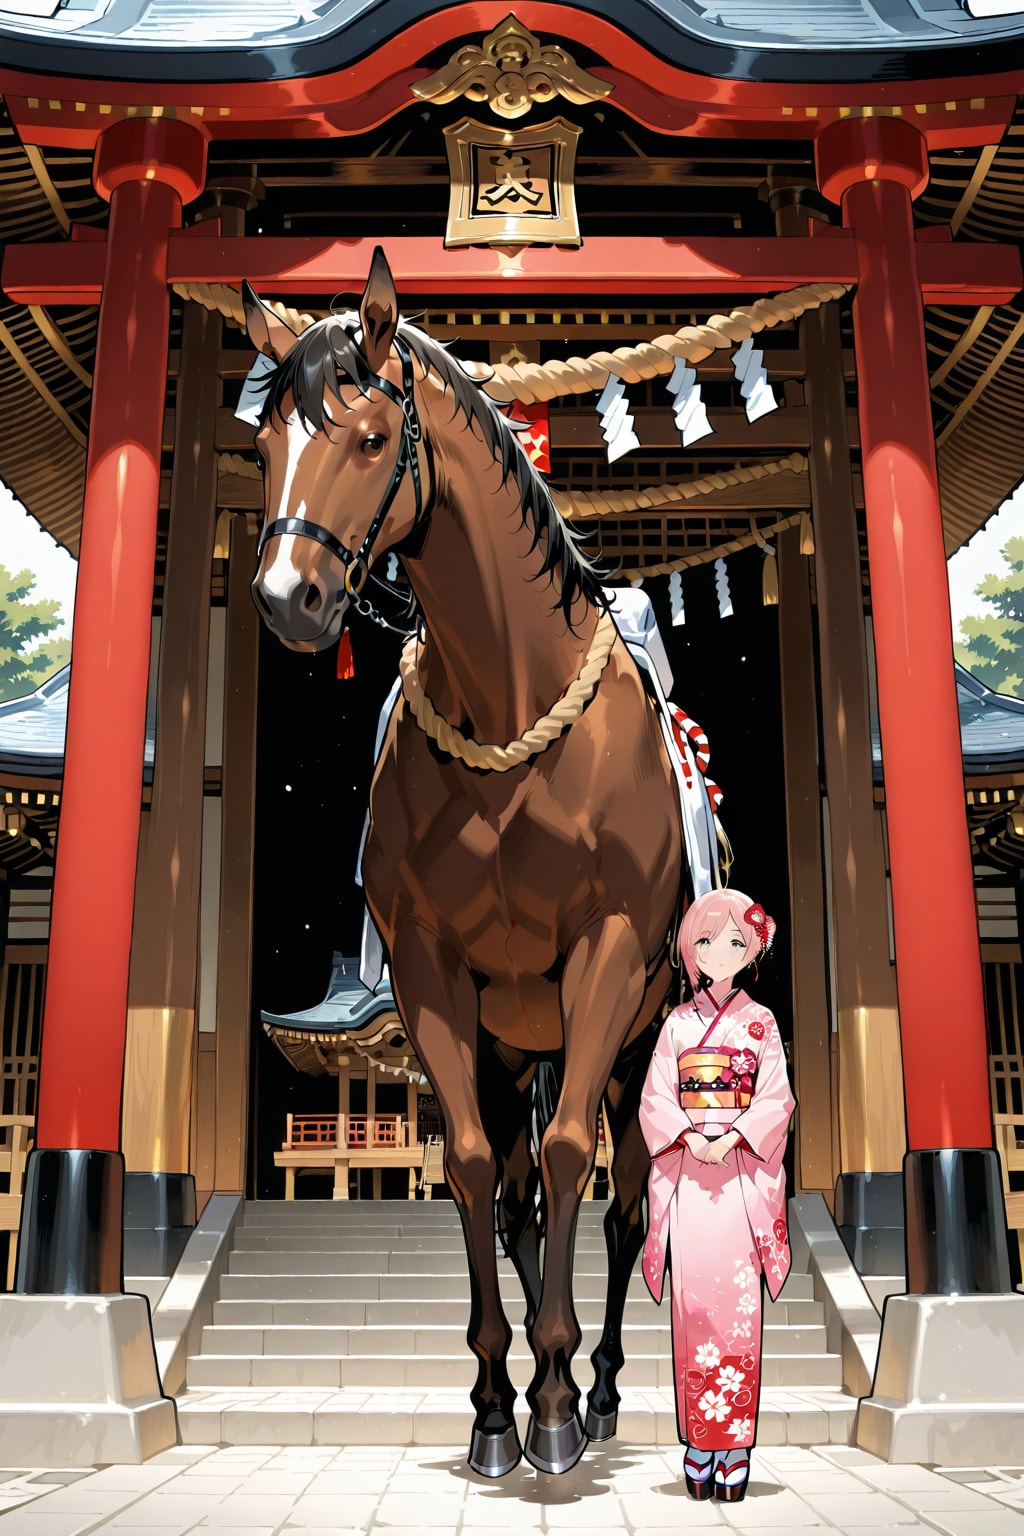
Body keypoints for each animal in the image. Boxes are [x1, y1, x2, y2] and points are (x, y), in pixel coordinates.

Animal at [242, 248, 687, 1478]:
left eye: (364, 438)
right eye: (263, 443)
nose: (289, 601)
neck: (511, 708)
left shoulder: (610, 951)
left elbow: (581, 1160)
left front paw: (560, 1404)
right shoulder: (435, 973)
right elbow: (481, 1172)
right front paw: (498, 1400)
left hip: (636, 1031)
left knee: (625, 1201)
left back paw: (605, 1388)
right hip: (513, 1035)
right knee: (523, 1195)